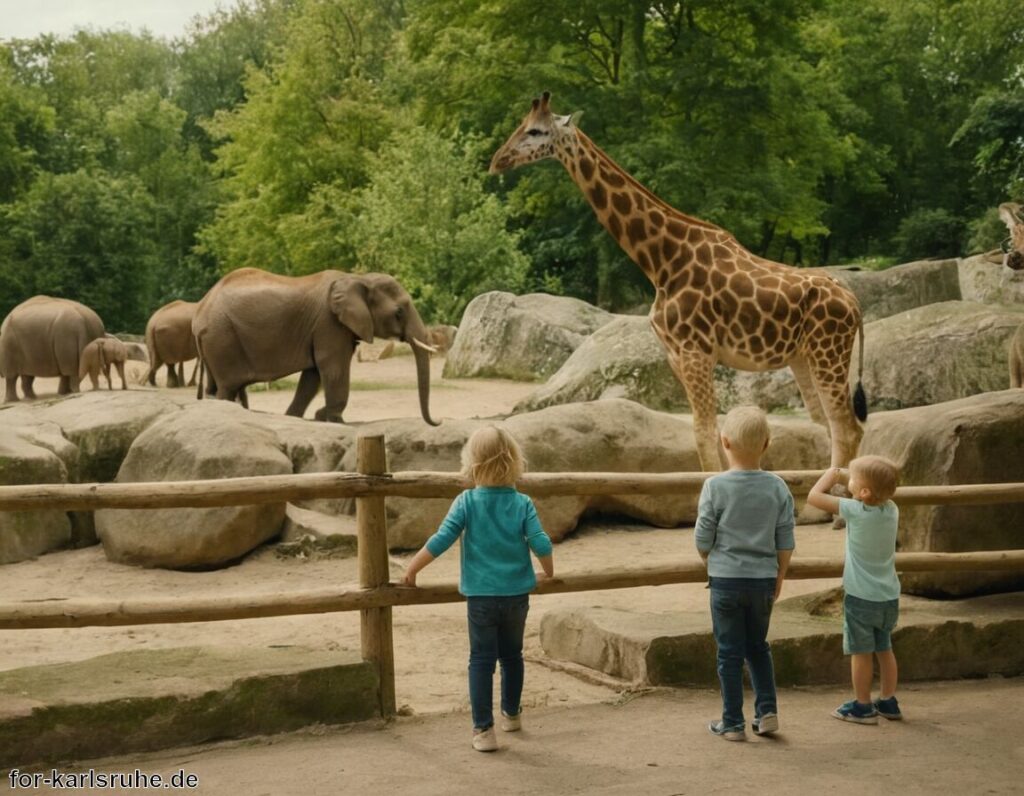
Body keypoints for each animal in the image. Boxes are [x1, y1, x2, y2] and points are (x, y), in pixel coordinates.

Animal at [192, 266, 440, 426]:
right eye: (398, 312)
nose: (437, 421)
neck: (357, 278)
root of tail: (200, 312)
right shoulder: (328, 324)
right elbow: (332, 367)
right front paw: (333, 419)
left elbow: (313, 375)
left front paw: (296, 417)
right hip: (222, 337)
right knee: (227, 388)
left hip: (217, 341)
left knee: (216, 387)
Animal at [487, 91, 864, 471]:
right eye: (522, 125)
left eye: (535, 131)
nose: (496, 161)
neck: (661, 262)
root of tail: (855, 305)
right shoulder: (676, 355)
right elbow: (712, 436)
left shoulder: (696, 350)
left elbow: (703, 434)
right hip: (804, 357)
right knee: (827, 424)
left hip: (828, 352)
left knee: (848, 428)